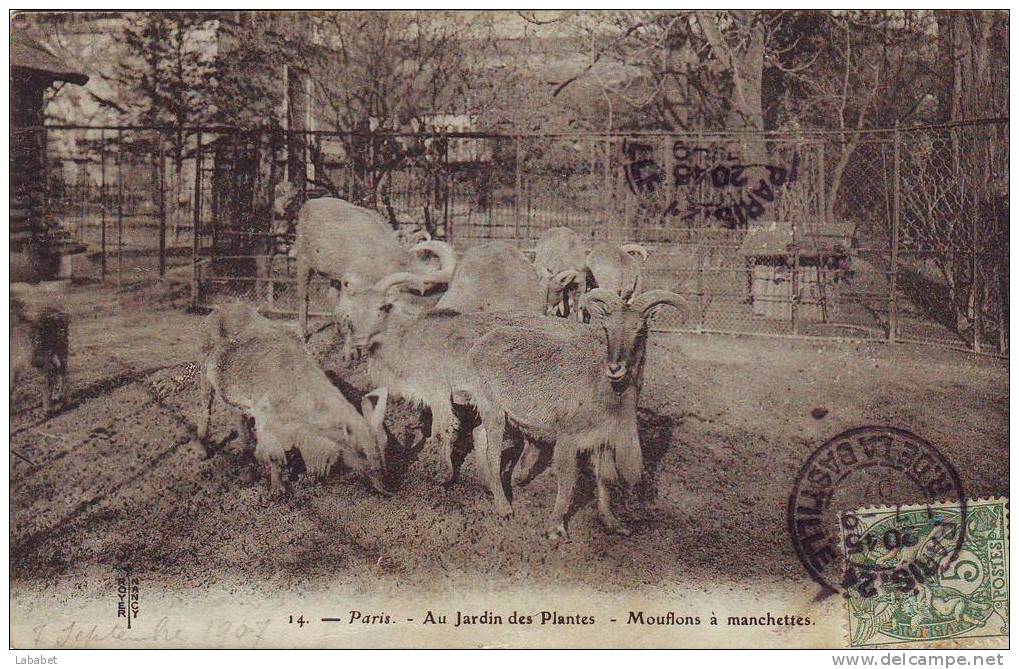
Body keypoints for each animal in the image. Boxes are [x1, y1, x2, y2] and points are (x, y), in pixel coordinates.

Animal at [195, 303, 389, 494]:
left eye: (383, 444)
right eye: (361, 452)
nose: (386, 487)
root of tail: (218, 309)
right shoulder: (264, 417)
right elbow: (274, 456)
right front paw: (278, 490)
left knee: (235, 412)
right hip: (203, 369)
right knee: (205, 408)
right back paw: (202, 451)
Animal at [466, 289, 688, 537]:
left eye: (640, 331)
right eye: (607, 329)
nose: (615, 368)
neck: (603, 389)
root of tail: (479, 345)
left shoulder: (602, 442)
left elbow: (605, 479)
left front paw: (612, 522)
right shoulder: (568, 440)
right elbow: (567, 484)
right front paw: (555, 528)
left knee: (478, 433)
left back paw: (491, 483)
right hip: (493, 409)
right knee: (492, 455)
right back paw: (503, 506)